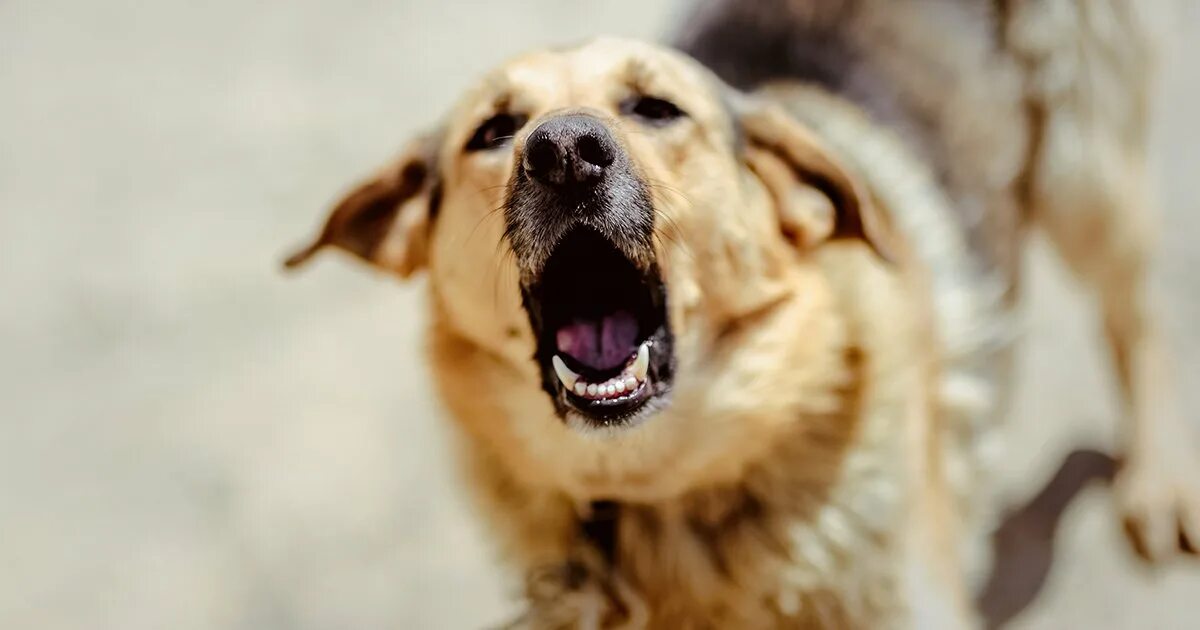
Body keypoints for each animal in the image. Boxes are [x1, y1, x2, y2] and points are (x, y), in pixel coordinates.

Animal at [285, 0, 1195, 624]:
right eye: (494, 130)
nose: (564, 152)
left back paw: (1158, 485)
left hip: (1083, 174)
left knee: (1138, 317)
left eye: (656, 108)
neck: (652, 491)